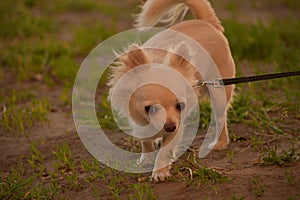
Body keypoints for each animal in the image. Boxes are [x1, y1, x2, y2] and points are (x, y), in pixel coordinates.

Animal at [106, 0, 236, 182]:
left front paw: (160, 171)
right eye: (150, 108)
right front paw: (146, 159)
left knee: (220, 118)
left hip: (219, 90)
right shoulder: (140, 120)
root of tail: (206, 22)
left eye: (180, 106)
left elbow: (164, 151)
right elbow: (145, 141)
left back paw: (219, 143)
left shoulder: (177, 126)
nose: (170, 127)